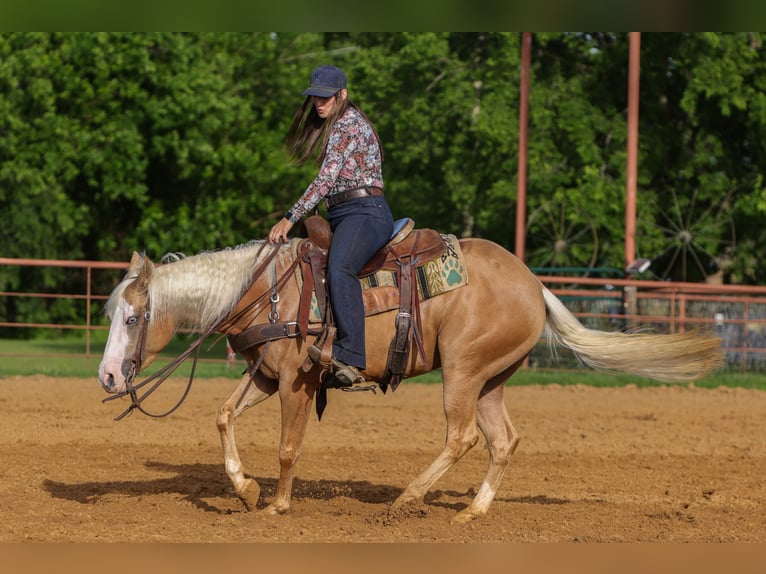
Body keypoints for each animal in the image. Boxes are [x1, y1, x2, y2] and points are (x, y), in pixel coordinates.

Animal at [97, 232, 723, 524]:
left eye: (132, 318)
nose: (106, 376)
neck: (267, 290)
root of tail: (534, 284)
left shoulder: (298, 380)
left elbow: (288, 446)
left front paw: (277, 504)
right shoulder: (266, 377)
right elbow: (223, 416)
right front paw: (246, 488)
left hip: (463, 371)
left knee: (462, 436)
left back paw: (406, 499)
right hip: (491, 380)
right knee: (502, 440)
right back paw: (473, 511)